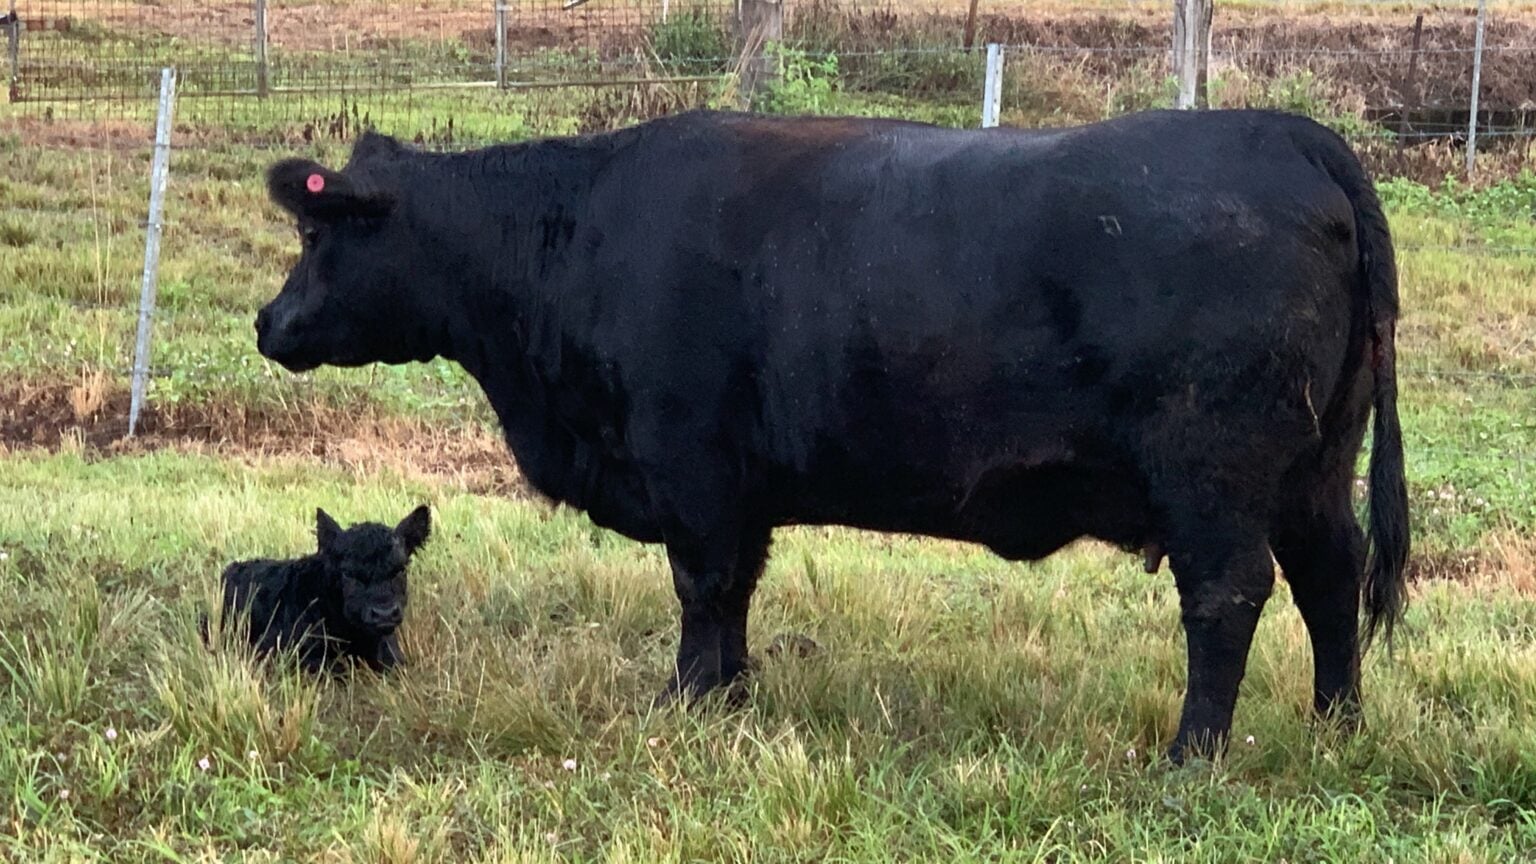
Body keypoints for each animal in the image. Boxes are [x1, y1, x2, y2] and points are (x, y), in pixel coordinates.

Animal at [254, 108, 1409, 762]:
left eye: (316, 233)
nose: (268, 323)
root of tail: (1289, 134)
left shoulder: (694, 470)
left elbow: (703, 589)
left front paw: (688, 699)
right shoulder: (743, 488)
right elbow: (737, 594)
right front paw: (730, 695)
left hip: (1213, 473)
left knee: (1229, 596)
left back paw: (1191, 755)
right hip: (1315, 465)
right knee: (1332, 575)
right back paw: (1337, 725)